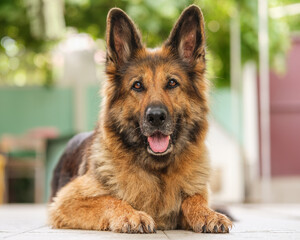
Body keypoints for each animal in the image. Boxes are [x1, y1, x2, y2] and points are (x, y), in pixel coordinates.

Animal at [48, 4, 232, 233]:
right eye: (137, 85)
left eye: (172, 83)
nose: (156, 117)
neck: (158, 171)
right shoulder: (66, 201)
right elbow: (110, 199)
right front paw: (131, 215)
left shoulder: (196, 190)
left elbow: (193, 199)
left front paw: (208, 214)